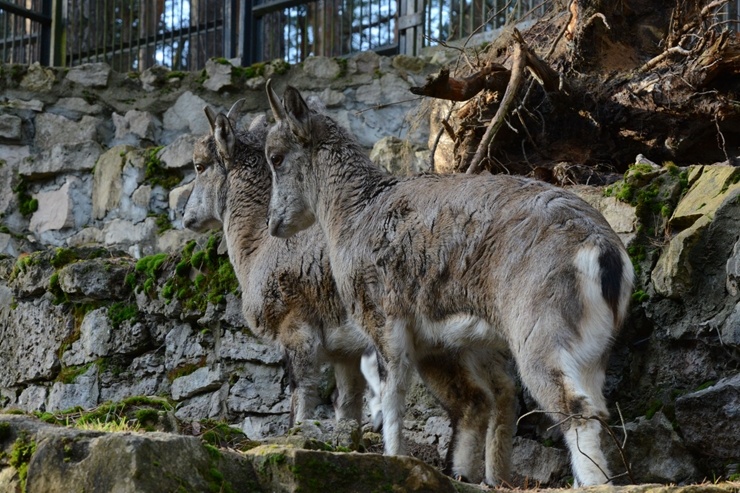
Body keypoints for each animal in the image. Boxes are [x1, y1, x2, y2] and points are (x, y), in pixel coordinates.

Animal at [182, 104, 382, 426]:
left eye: (200, 166)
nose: (187, 217)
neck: (259, 245)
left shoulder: (295, 326)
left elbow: (302, 392)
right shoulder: (345, 352)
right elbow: (348, 404)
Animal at [266, 82, 636, 486]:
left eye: (277, 157)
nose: (273, 223)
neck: (353, 216)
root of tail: (601, 250)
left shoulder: (383, 320)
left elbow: (392, 395)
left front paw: (394, 458)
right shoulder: (441, 342)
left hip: (542, 333)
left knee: (575, 406)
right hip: (592, 350)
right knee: (596, 407)